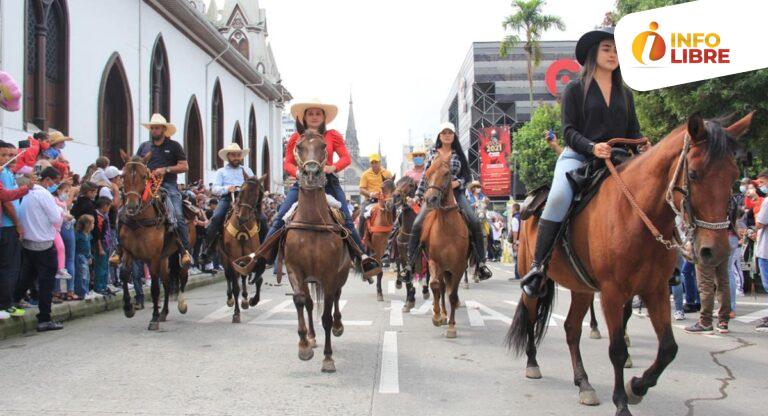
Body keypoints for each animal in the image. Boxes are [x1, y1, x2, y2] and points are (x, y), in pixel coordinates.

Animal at [118, 151, 195, 330]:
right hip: (164, 258)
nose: (131, 206)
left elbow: (154, 287)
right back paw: (164, 312)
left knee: (182, 274)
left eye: (144, 176)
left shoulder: (153, 257)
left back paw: (180, 304)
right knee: (166, 282)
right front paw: (128, 308)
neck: (139, 221)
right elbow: (124, 274)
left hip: (179, 252)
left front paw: (153, 318)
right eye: (123, 176)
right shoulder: (128, 252)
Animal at [216, 171, 268, 324]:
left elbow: (258, 279)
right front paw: (236, 313)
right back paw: (230, 300)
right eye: (242, 191)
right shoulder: (232, 259)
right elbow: (235, 286)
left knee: (244, 276)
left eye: (256, 194)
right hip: (224, 258)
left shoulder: (253, 256)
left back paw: (245, 300)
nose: (242, 217)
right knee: (228, 277)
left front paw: (253, 300)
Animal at [282, 127, 354, 374]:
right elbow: (300, 301)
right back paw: (312, 338)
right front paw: (304, 345)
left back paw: (339, 326)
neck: (312, 222)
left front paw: (328, 358)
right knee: (310, 303)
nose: (311, 173)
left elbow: (326, 317)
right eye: (298, 146)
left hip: (339, 275)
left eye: (324, 146)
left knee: (337, 298)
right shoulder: (295, 270)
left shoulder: (329, 274)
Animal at [416, 150, 472, 338]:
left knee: (447, 290)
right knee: (440, 288)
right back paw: (442, 314)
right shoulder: (434, 262)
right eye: (427, 173)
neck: (448, 228)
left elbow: (453, 295)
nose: (430, 199)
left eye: (447, 173)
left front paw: (452, 326)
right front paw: (436, 317)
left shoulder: (459, 266)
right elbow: (435, 286)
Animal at [508, 112, 752, 414]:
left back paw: (584, 383)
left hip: (581, 287)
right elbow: (616, 350)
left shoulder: (655, 289)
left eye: (733, 175)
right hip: (535, 279)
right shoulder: (612, 293)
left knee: (571, 329)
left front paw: (636, 387)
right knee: (531, 315)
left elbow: (668, 348)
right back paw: (532, 363)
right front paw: (622, 402)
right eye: (694, 174)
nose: (714, 251)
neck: (637, 214)